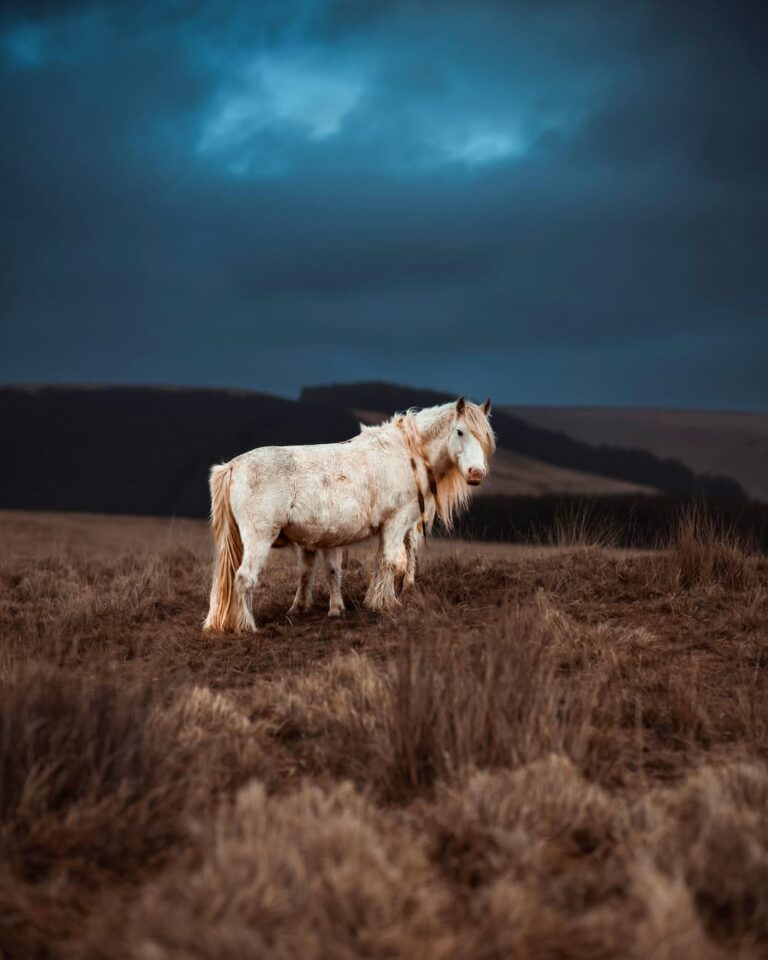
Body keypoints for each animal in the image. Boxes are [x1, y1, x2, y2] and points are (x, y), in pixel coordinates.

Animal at [202, 394, 492, 632]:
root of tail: (233, 466)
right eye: (460, 432)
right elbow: (389, 561)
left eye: (486, 438)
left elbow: (376, 563)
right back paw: (247, 626)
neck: (407, 453)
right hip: (259, 538)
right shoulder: (395, 523)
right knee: (244, 578)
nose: (476, 473)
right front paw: (385, 603)